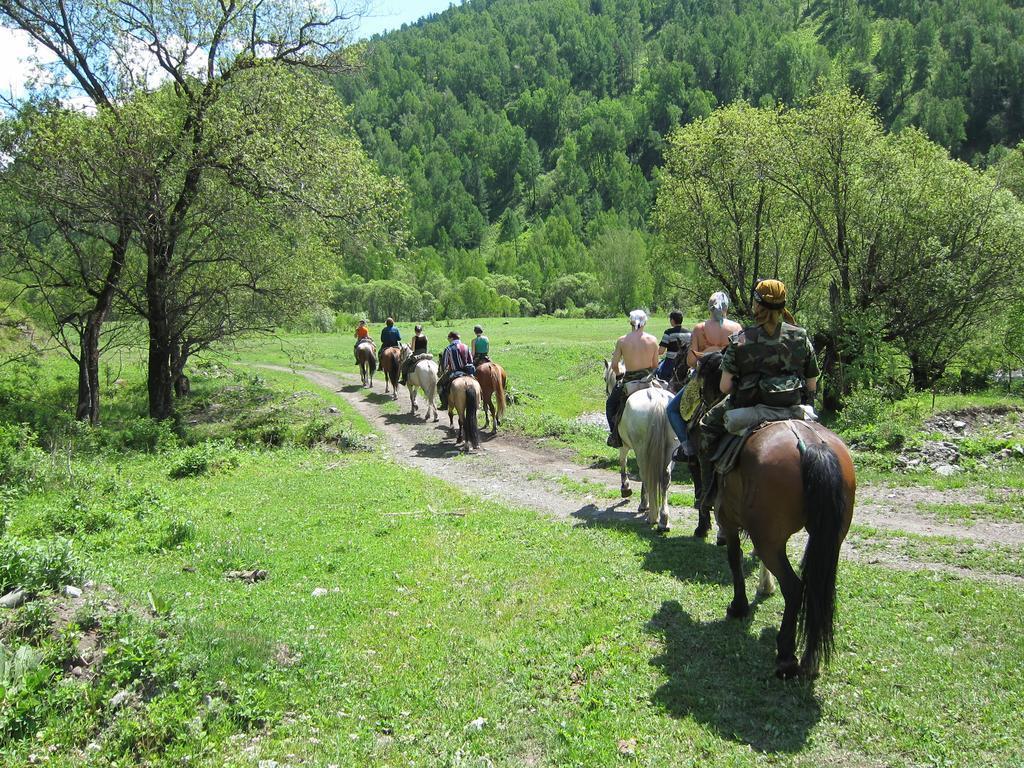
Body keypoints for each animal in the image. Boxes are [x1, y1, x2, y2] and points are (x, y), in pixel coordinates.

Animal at [598, 362, 679, 532]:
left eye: (604, 378)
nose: (606, 391)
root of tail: (656, 400)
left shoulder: (624, 445)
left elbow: (623, 462)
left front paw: (626, 489)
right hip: (669, 450)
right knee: (664, 477)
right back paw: (663, 519)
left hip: (641, 448)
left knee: (645, 473)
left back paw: (653, 517)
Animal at [696, 354, 856, 679]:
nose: (702, 402)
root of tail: (811, 446)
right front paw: (762, 588)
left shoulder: (728, 519)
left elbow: (734, 560)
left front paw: (739, 607)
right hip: (829, 538)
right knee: (817, 588)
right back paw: (810, 659)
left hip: (770, 539)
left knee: (795, 587)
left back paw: (786, 656)